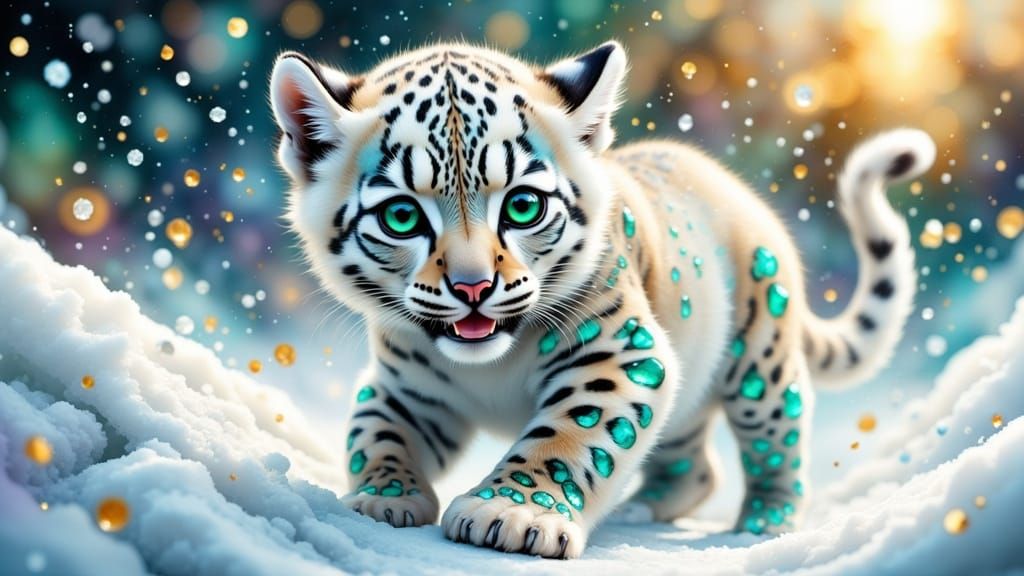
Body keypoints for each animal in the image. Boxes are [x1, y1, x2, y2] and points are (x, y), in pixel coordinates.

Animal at [269, 40, 934, 559]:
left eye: (523, 206)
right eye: (403, 216)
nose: (473, 287)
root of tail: (729, 183)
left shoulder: (621, 354)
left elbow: (568, 438)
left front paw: (510, 515)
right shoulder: (407, 387)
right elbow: (376, 434)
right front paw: (382, 499)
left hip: (760, 360)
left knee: (779, 436)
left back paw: (761, 522)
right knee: (694, 461)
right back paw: (646, 506)